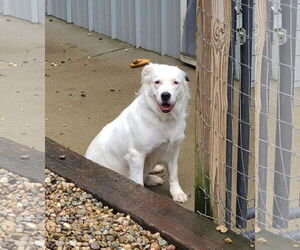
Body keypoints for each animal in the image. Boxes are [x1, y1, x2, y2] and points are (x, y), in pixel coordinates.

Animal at [85, 63, 191, 203]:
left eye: (175, 82)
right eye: (157, 82)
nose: (165, 95)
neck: (162, 118)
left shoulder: (173, 150)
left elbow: (174, 175)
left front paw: (177, 192)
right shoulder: (137, 155)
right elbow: (138, 181)